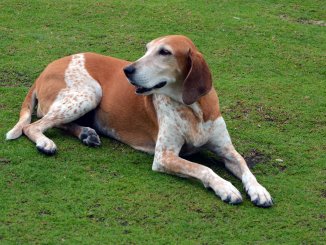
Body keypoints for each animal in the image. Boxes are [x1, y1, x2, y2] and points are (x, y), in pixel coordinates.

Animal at [6, 34, 274, 207]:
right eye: (146, 49)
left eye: (164, 52)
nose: (127, 70)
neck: (193, 108)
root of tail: (45, 69)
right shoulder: (164, 157)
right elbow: (203, 168)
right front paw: (226, 188)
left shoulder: (227, 150)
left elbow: (245, 166)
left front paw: (259, 190)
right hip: (90, 93)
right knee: (33, 125)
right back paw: (46, 143)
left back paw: (86, 133)